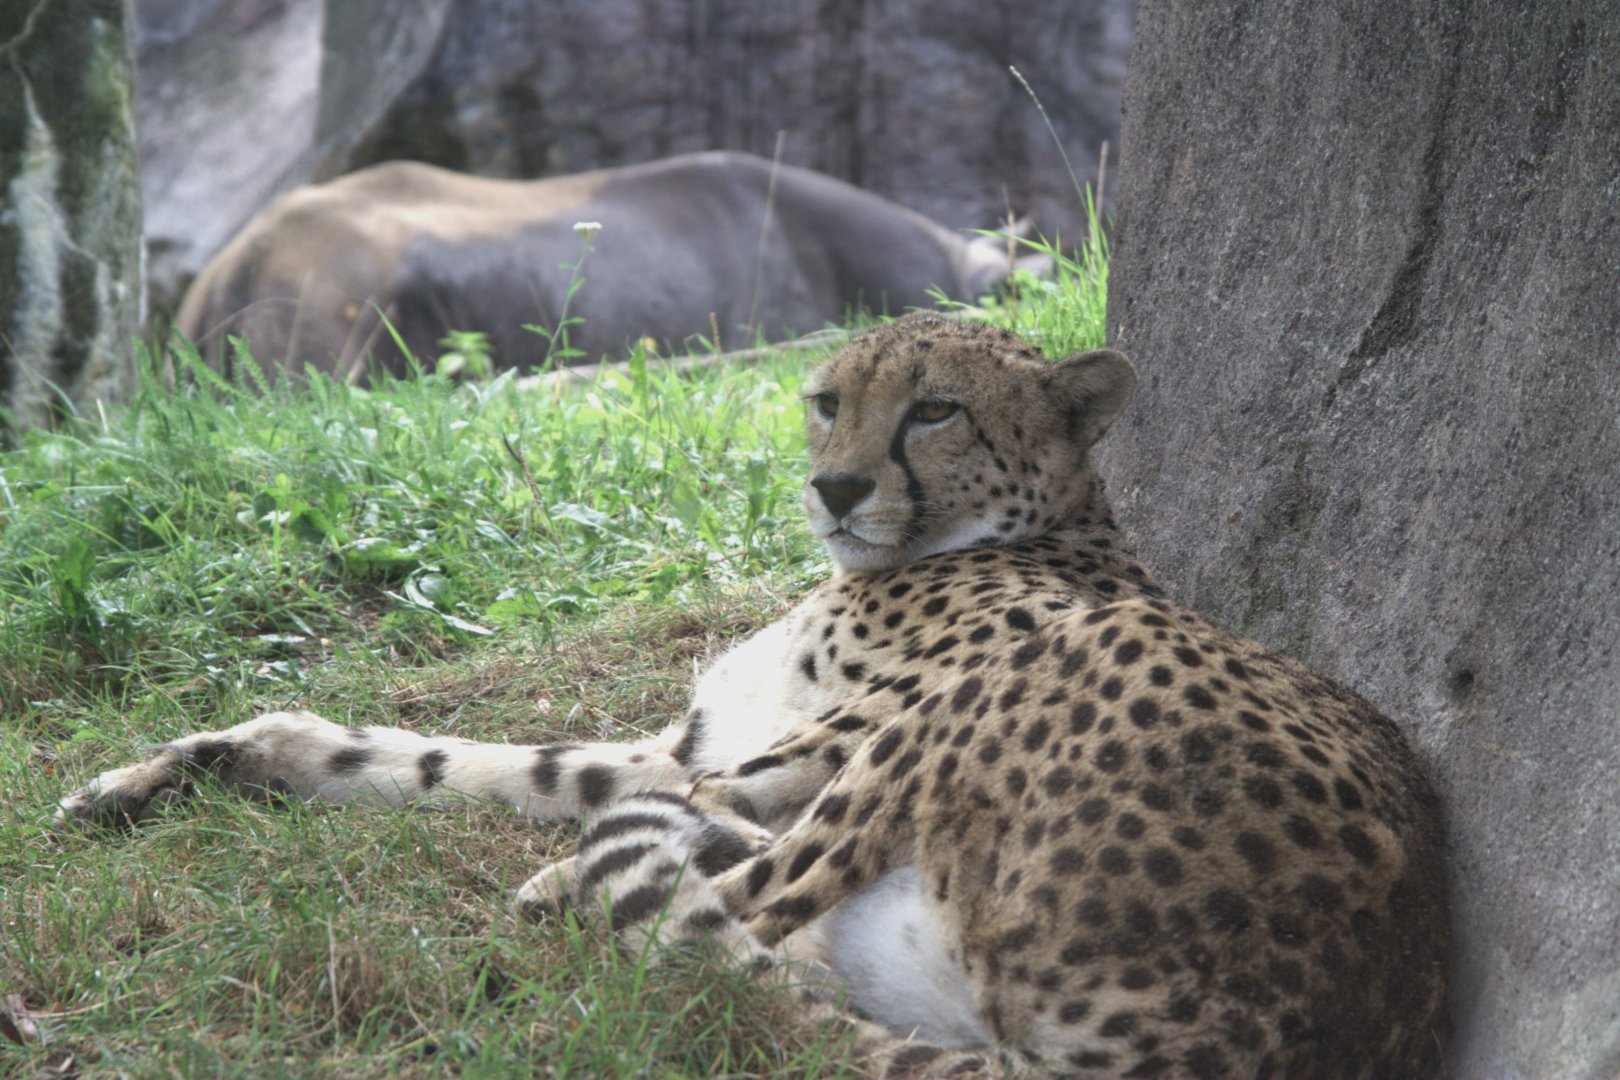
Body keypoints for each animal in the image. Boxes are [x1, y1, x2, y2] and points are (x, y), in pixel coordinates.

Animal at [58, 312, 1449, 1078]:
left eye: (935, 410)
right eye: (827, 401)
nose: (835, 487)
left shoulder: (858, 721)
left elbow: (656, 803)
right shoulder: (688, 734)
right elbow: (468, 759)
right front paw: (189, 763)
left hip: (1014, 698)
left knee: (715, 916)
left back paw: (560, 910)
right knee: (765, 940)